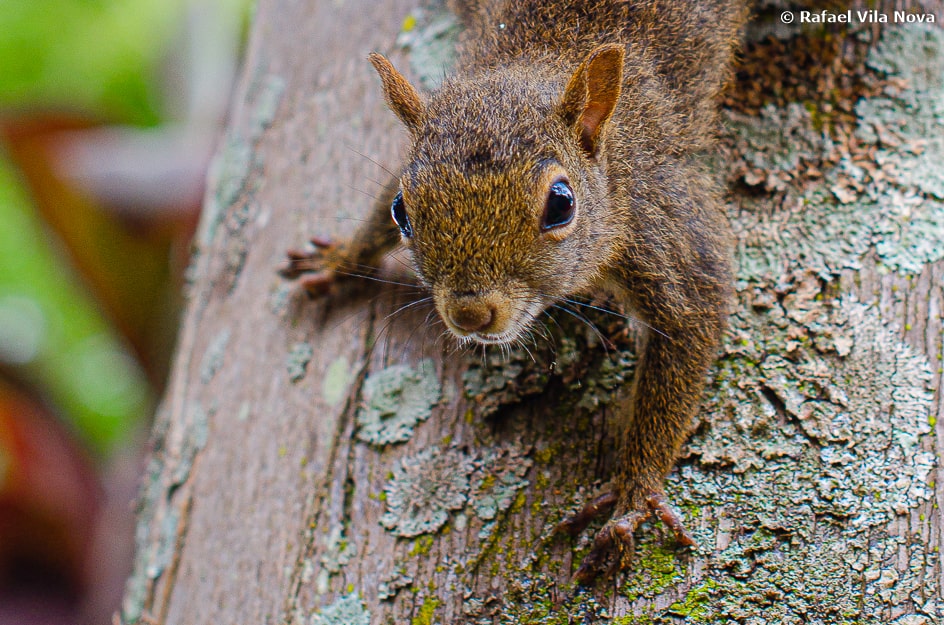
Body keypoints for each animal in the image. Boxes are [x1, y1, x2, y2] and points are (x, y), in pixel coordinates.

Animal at [280, 0, 744, 584]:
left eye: (561, 204)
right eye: (401, 211)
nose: (471, 314)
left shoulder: (661, 218)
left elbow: (693, 314)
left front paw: (633, 494)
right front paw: (342, 258)